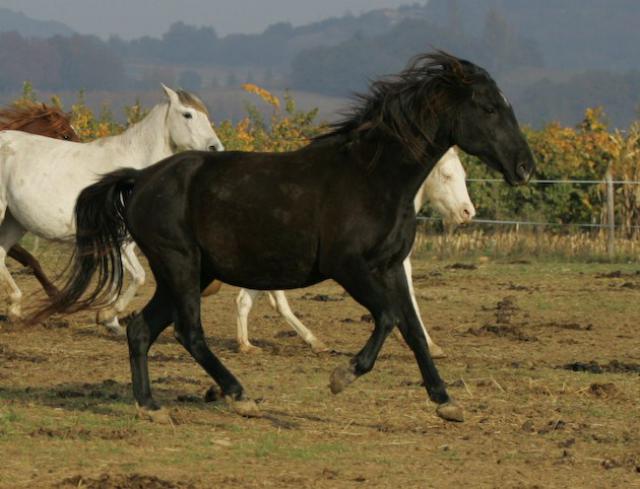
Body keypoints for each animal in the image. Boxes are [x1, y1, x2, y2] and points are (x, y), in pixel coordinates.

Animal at [0, 85, 222, 332]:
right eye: (187, 114)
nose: (215, 147)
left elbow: (122, 278)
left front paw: (110, 320)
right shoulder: (119, 239)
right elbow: (138, 276)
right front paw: (108, 314)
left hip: (14, 221)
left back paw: (15, 309)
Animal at [226, 147, 476, 356]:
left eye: (463, 174)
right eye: (446, 175)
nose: (468, 212)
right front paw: (428, 345)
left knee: (247, 300)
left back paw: (250, 344)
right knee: (270, 301)